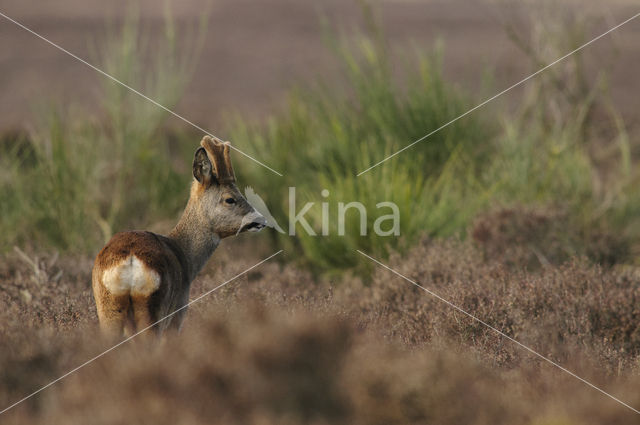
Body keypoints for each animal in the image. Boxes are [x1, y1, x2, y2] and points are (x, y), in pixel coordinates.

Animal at [91, 136, 266, 338]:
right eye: (230, 199)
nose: (261, 219)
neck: (185, 256)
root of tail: (131, 260)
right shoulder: (178, 312)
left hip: (108, 308)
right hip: (155, 309)